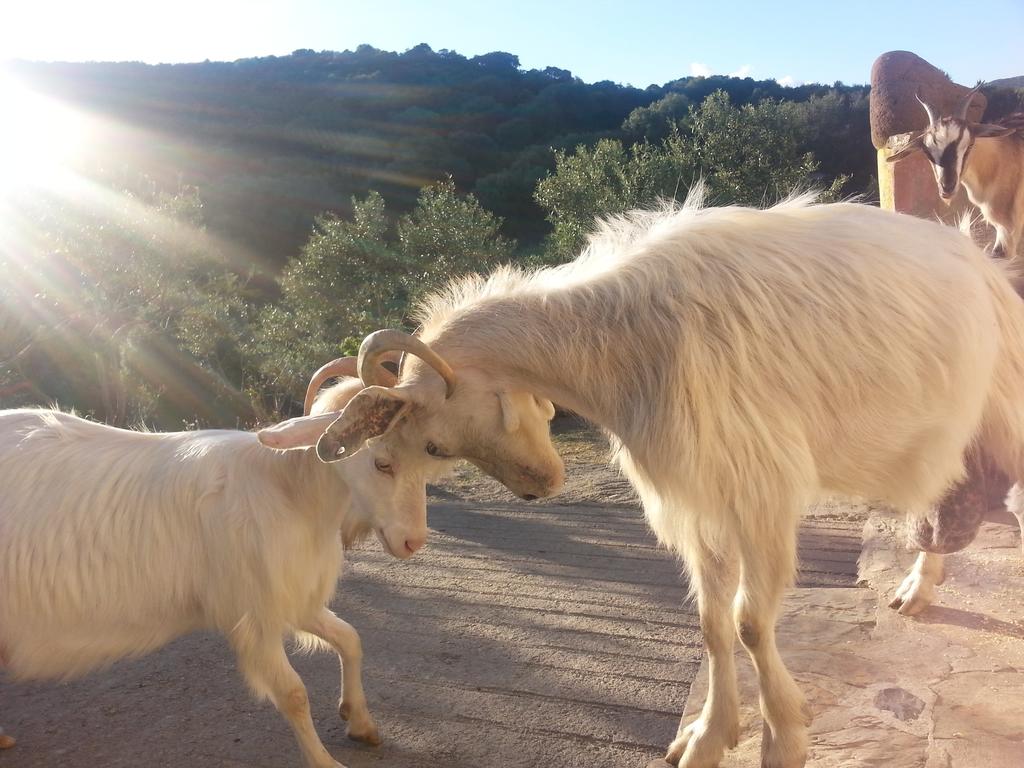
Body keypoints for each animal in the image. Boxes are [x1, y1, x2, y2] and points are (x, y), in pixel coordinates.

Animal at [0, 362, 452, 768]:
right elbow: (293, 693)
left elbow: (350, 638)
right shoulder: (254, 613)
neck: (288, 490)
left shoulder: (294, 599)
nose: (413, 541)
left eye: (424, 462)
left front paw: (360, 723)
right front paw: (325, 761)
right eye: (382, 462)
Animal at [348, 188, 1024, 768]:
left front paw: (784, 736)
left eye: (433, 444)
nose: (539, 487)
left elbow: (751, 623)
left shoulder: (758, 491)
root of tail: (980, 261)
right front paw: (708, 736)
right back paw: (918, 587)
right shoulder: (702, 499)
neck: (620, 339)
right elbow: (713, 623)